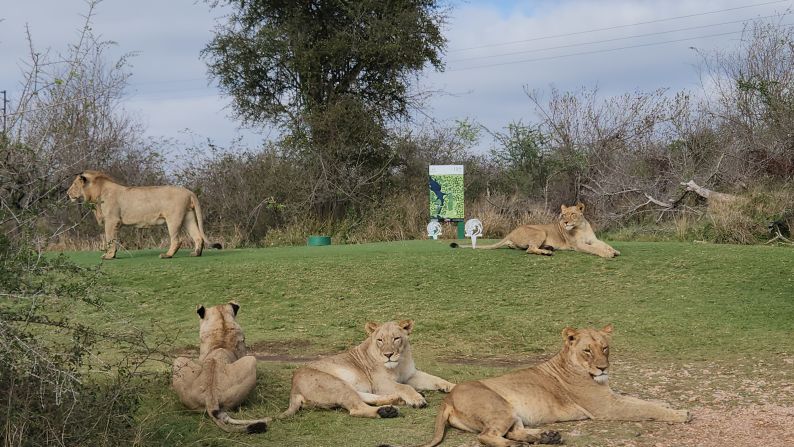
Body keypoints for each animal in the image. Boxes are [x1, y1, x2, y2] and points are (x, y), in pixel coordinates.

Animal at [64, 171, 218, 262]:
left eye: (74, 184)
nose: (67, 193)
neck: (97, 193)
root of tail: (189, 192)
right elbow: (114, 239)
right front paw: (113, 254)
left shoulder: (112, 220)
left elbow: (110, 239)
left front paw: (109, 256)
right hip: (188, 216)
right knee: (198, 236)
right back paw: (196, 253)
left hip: (174, 218)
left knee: (177, 240)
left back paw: (167, 255)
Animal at [278, 322, 452, 420]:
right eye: (380, 340)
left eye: (396, 338)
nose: (388, 355)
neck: (399, 363)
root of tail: (293, 389)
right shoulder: (381, 383)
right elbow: (405, 387)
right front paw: (417, 399)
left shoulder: (411, 375)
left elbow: (435, 378)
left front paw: (450, 386)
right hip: (336, 383)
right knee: (357, 408)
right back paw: (388, 411)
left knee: (365, 397)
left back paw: (396, 400)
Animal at [378, 326, 688, 447]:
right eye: (587, 351)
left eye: (605, 348)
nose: (603, 368)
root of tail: (448, 397)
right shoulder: (606, 407)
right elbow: (646, 408)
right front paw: (681, 414)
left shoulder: (611, 396)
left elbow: (641, 399)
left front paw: (672, 405)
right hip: (500, 406)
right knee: (490, 437)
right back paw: (531, 442)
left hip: (511, 412)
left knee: (514, 431)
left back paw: (547, 436)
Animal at [448, 203, 616, 260]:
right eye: (564, 215)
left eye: (573, 214)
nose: (565, 222)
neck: (581, 226)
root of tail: (512, 231)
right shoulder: (578, 245)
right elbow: (594, 249)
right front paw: (607, 254)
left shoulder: (594, 239)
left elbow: (603, 244)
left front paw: (614, 250)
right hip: (540, 232)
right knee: (530, 249)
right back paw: (547, 252)